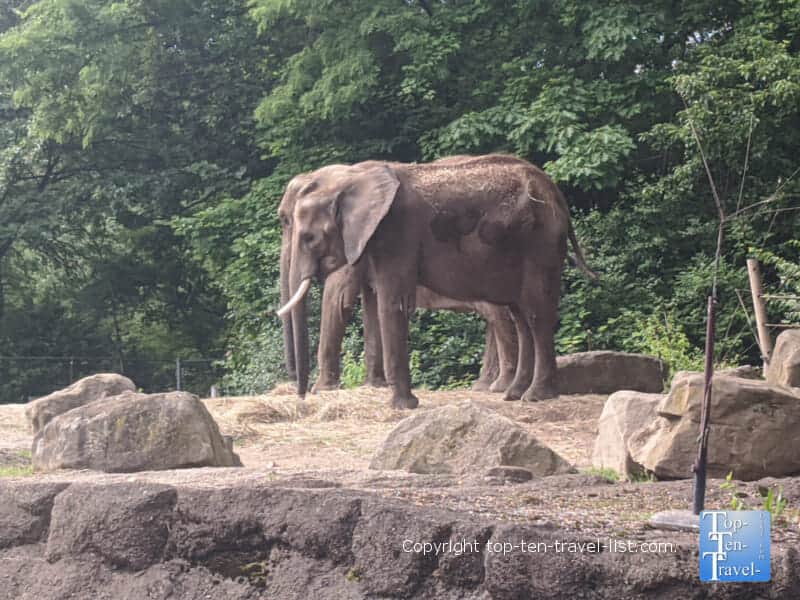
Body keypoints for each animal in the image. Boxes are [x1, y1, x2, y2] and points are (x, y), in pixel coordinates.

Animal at [278, 154, 595, 408]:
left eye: (308, 237)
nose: (301, 394)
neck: (351, 175)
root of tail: (557, 194)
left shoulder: (396, 232)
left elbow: (381, 303)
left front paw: (402, 406)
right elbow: (373, 306)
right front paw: (377, 390)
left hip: (539, 243)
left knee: (533, 313)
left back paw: (533, 395)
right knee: (520, 316)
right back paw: (512, 393)